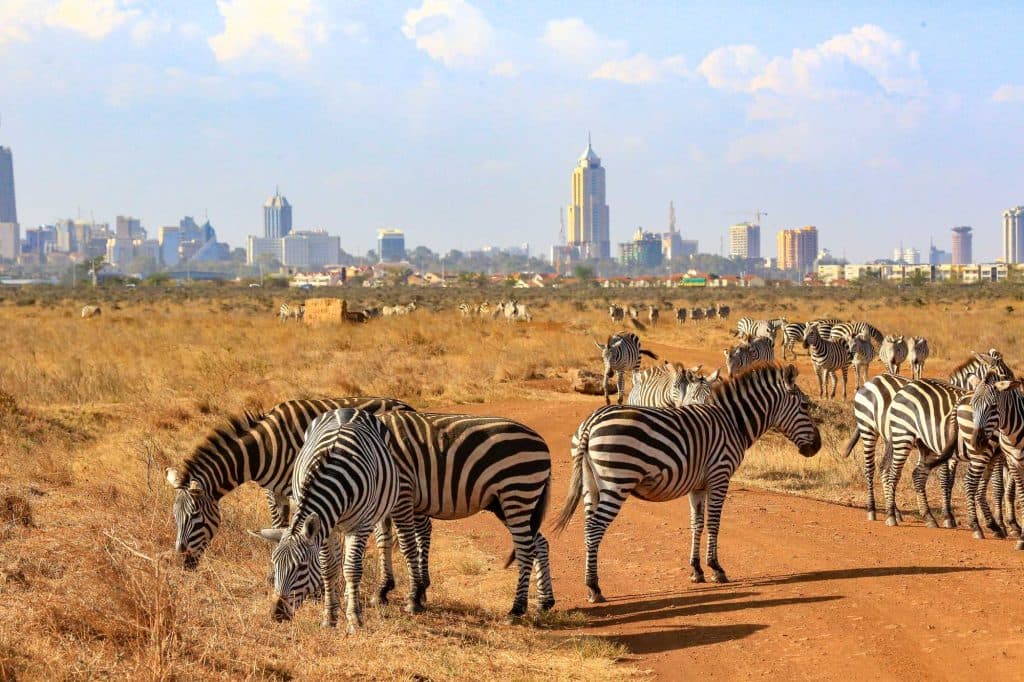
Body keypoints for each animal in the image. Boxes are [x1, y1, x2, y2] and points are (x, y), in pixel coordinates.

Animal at [165, 396, 415, 570]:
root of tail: (406, 405)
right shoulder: (274, 491)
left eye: (195, 516)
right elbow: (279, 526)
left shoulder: (296, 489)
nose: (183, 562)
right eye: (175, 517)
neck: (263, 449)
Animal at [253, 409, 403, 631]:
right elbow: (328, 568)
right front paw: (329, 616)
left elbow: (352, 569)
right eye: (274, 564)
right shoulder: (325, 527)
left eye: (301, 567)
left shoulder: (360, 525)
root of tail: (347, 409)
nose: (276, 614)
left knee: (361, 556)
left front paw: (354, 619)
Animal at [372, 412, 554, 618]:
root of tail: (541, 441)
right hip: (507, 503)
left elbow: (406, 545)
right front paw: (382, 591)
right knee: (539, 543)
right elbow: (383, 542)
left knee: (525, 548)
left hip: (517, 492)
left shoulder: (403, 492)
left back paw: (517, 609)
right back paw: (544, 602)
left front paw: (413, 598)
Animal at [552, 364, 821, 601]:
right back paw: (594, 588)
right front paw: (716, 569)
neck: (733, 423)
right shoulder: (719, 476)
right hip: (617, 481)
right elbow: (714, 524)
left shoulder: (697, 486)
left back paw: (591, 586)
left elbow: (697, 524)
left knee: (588, 527)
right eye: (805, 405)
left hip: (591, 484)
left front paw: (696, 570)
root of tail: (591, 422)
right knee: (595, 528)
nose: (817, 447)